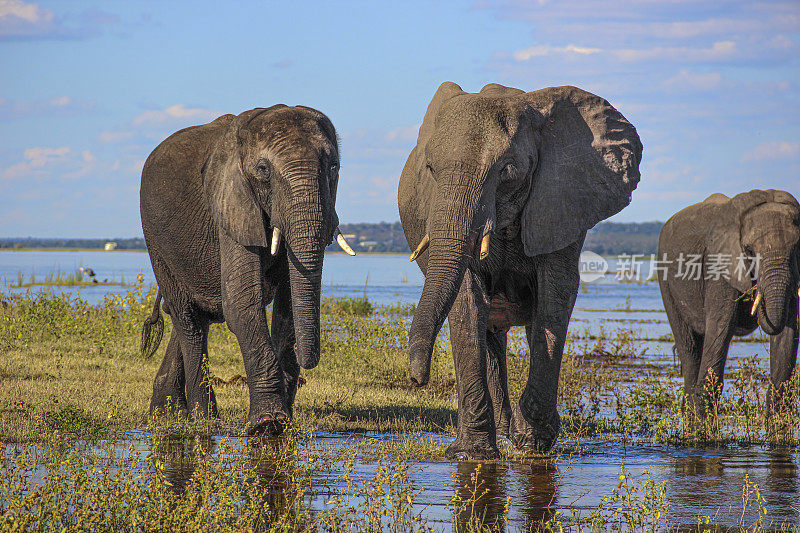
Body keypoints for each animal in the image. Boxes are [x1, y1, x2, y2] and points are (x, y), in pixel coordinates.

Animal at [139, 106, 354, 434]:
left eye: (333, 166)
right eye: (263, 170)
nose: (306, 362)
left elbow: (289, 306)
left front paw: (283, 420)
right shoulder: (232, 204)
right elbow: (241, 302)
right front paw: (268, 424)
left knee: (191, 317)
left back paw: (167, 416)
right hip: (156, 241)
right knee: (186, 318)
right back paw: (204, 418)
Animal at [400, 82, 644, 458]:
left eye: (507, 171)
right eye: (429, 169)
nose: (417, 380)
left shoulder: (562, 202)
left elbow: (556, 295)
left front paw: (532, 443)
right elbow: (467, 300)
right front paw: (472, 453)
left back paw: (512, 434)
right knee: (488, 332)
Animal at [656, 189, 800, 426]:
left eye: (797, 249)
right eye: (749, 250)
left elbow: (788, 334)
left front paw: (777, 423)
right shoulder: (719, 267)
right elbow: (720, 327)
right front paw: (703, 426)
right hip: (666, 280)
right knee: (690, 349)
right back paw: (690, 416)